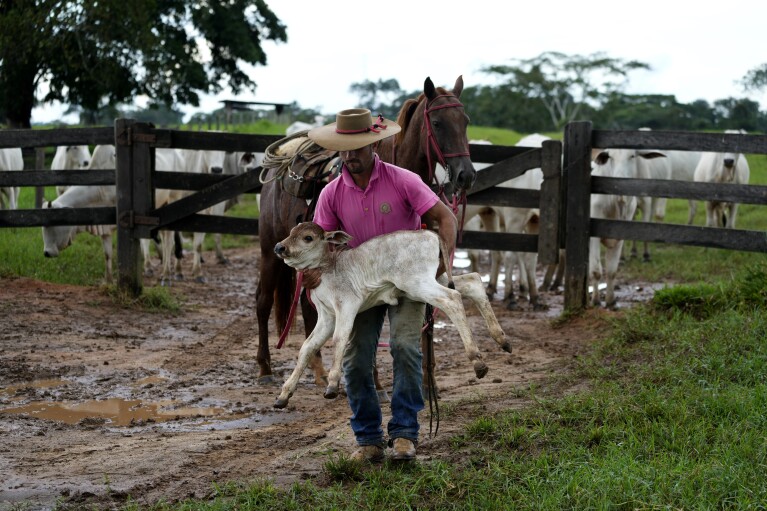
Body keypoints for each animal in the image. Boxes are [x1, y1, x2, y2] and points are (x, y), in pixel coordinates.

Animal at [272, 222, 510, 410]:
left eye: (308, 238)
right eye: (291, 232)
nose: (279, 247)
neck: (328, 271)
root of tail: (430, 234)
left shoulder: (347, 305)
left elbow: (339, 339)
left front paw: (332, 384)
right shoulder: (326, 317)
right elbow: (307, 347)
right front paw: (284, 394)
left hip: (418, 283)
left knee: (452, 299)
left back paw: (477, 360)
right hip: (435, 278)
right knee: (473, 282)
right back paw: (502, 339)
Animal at [588, 148, 664, 308]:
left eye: (632, 156)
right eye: (610, 157)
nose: (619, 179)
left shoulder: (620, 235)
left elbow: (612, 271)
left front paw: (611, 301)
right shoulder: (593, 237)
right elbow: (596, 270)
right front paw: (595, 301)